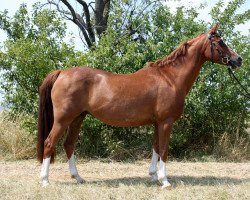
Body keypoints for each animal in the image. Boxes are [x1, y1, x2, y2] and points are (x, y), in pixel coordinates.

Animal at [37, 25, 242, 188]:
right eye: (220, 42)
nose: (238, 59)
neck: (170, 78)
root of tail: (62, 72)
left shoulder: (157, 123)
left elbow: (156, 147)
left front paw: (153, 176)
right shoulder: (166, 122)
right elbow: (164, 150)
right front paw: (165, 181)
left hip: (78, 118)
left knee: (69, 144)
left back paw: (78, 178)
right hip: (63, 119)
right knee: (49, 143)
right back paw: (45, 180)